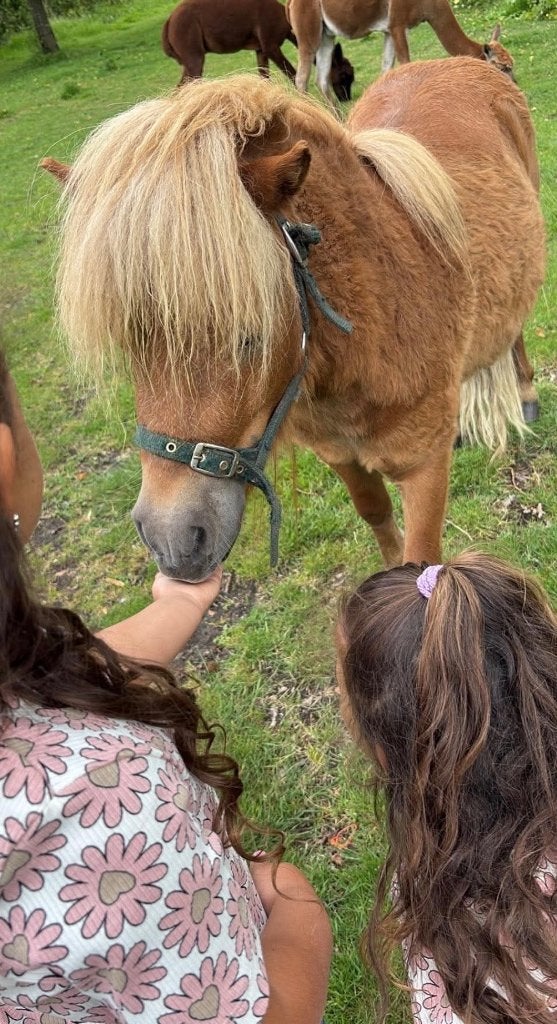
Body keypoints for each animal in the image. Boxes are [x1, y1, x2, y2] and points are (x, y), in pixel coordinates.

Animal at [47, 60, 544, 582]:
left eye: (250, 338)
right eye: (131, 344)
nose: (172, 541)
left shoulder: (425, 472)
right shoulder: (341, 457)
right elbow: (377, 517)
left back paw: (526, 393)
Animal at [162, 0, 355, 101]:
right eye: (344, 75)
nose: (346, 98)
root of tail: (169, 23)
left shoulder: (260, 49)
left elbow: (264, 78)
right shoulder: (270, 44)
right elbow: (293, 75)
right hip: (192, 52)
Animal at [286, 0, 513, 99]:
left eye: (512, 64)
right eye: (502, 67)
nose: (514, 86)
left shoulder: (389, 31)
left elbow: (386, 69)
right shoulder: (398, 24)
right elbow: (406, 64)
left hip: (327, 35)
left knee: (321, 81)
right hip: (308, 34)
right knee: (301, 80)